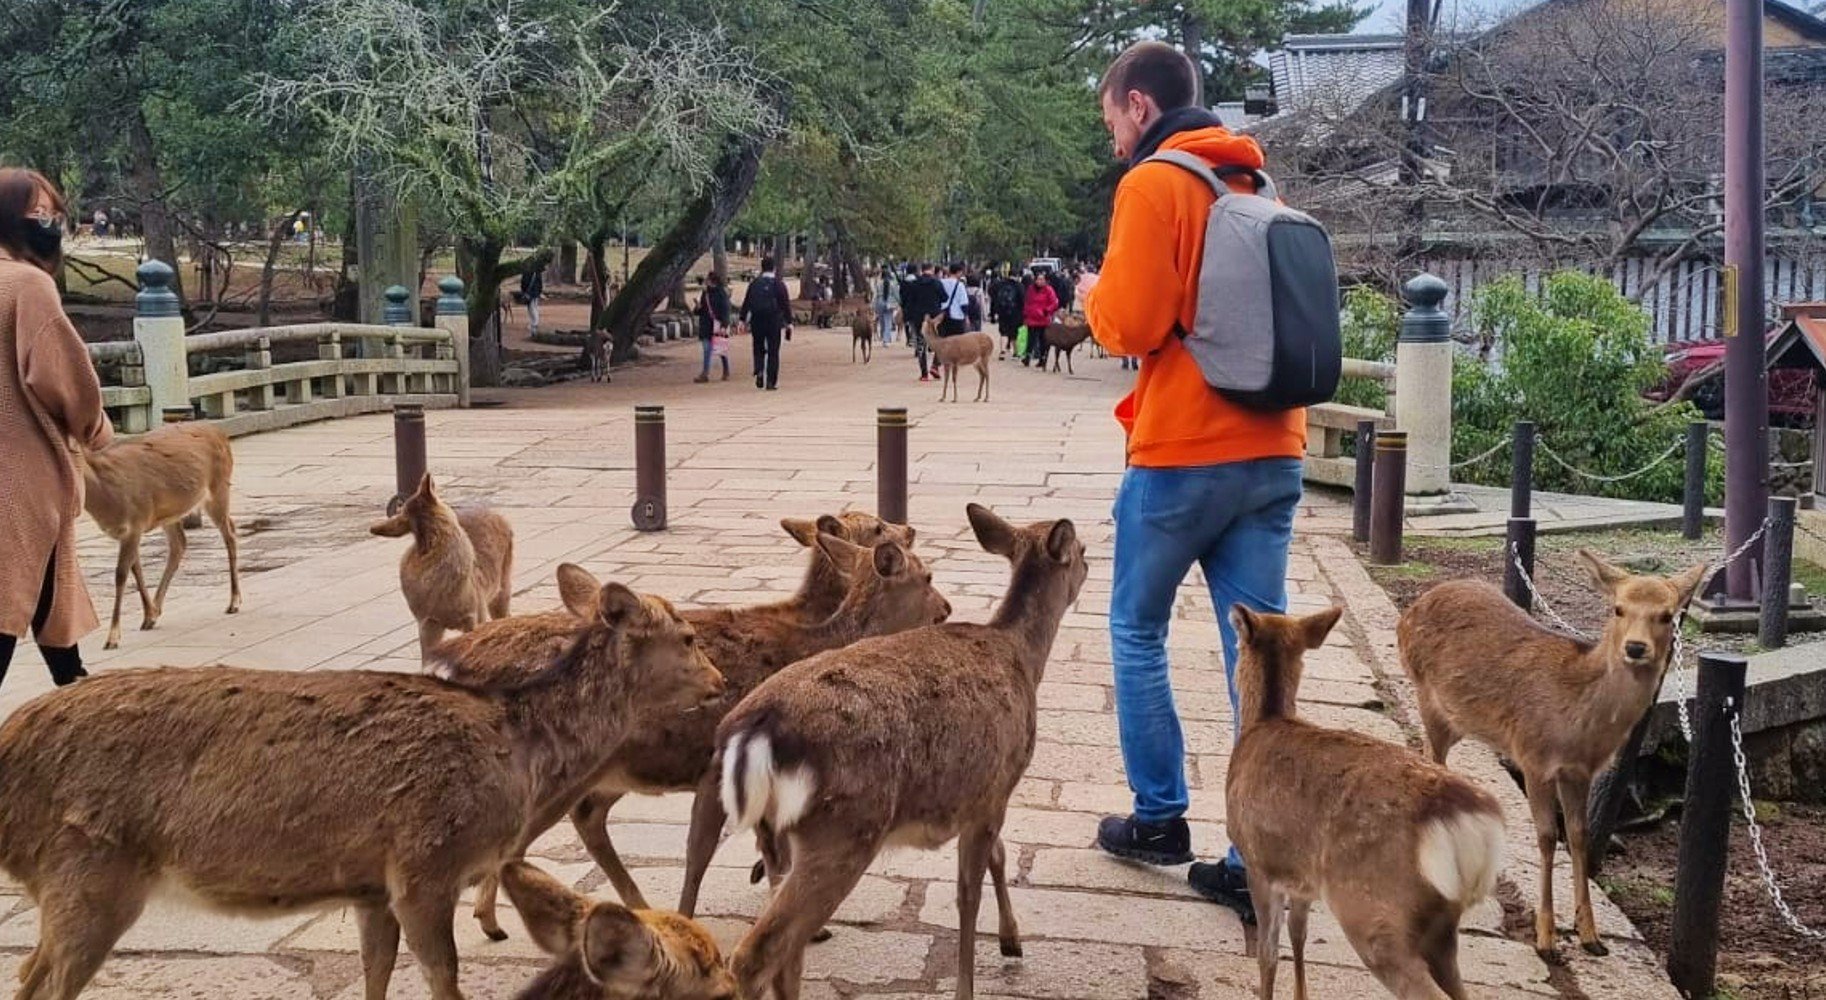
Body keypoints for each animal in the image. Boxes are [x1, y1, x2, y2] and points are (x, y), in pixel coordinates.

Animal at [77, 420, 242, 649]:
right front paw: (149, 616)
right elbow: (136, 569)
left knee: (230, 534)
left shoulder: (135, 523)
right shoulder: (130, 531)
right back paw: (157, 608)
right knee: (180, 543)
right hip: (170, 515)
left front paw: (112, 638)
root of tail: (219, 433)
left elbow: (121, 574)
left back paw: (234, 602)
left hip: (219, 488)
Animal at [439, 522, 951, 942]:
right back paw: (494, 918)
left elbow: (771, 847)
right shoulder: (714, 767)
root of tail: (451, 661)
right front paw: (693, 921)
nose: (946, 609)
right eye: (926, 577)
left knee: (581, 818)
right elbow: (701, 851)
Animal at [716, 503, 1088, 1000]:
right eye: (1082, 550)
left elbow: (998, 856)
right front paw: (969, 984)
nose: (1090, 565)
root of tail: (750, 731)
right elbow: (967, 895)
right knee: (761, 951)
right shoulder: (998, 783)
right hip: (844, 828)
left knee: (787, 951)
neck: (1023, 658)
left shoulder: (982, 792)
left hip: (778, 834)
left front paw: (1012, 941)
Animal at [1227, 605, 1506, 1000]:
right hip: (1442, 923)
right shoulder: (1304, 877)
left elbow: (1268, 953)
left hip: (1371, 908)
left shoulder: (1257, 861)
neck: (1263, 722)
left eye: (1238, 639)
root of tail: (1464, 817)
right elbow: (1298, 934)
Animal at [1397, 552, 1707, 961]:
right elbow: (1546, 837)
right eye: (1618, 608)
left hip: (1453, 718)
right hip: (1427, 697)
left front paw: (1591, 936)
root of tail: (1410, 609)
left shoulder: (1580, 773)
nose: (1636, 648)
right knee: (1433, 758)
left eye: (1668, 614)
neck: (1579, 726)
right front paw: (1546, 939)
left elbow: (1577, 835)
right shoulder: (1533, 756)